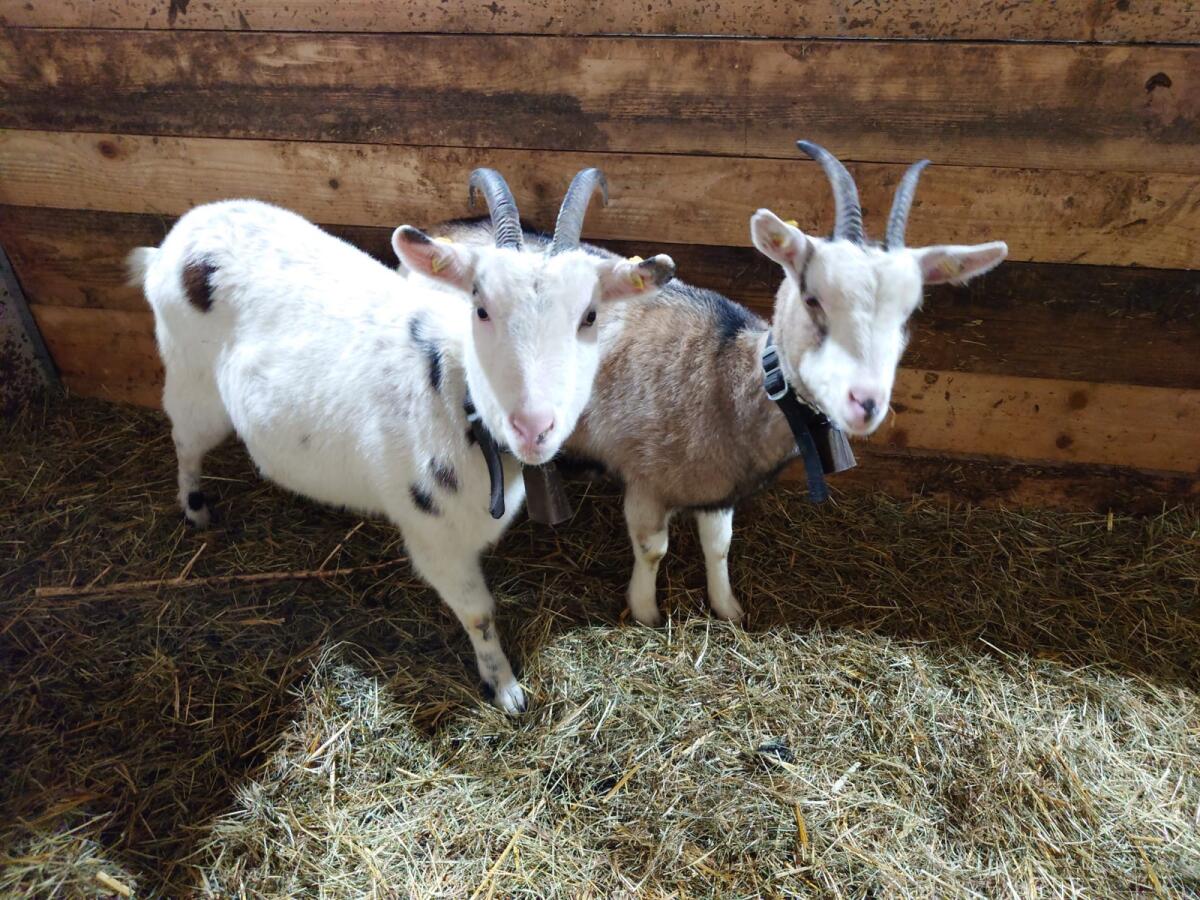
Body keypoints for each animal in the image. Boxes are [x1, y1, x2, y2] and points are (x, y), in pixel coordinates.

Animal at [128, 168, 676, 712]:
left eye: (589, 316)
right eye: (480, 307)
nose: (533, 426)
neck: (456, 395)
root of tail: (176, 243)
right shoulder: (433, 536)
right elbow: (478, 614)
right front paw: (505, 689)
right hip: (192, 379)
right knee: (185, 440)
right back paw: (196, 509)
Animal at [422, 143, 1008, 626]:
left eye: (910, 312)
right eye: (812, 296)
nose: (865, 403)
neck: (723, 369)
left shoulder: (717, 480)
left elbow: (720, 544)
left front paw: (728, 609)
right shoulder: (645, 477)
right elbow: (653, 548)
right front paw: (646, 612)